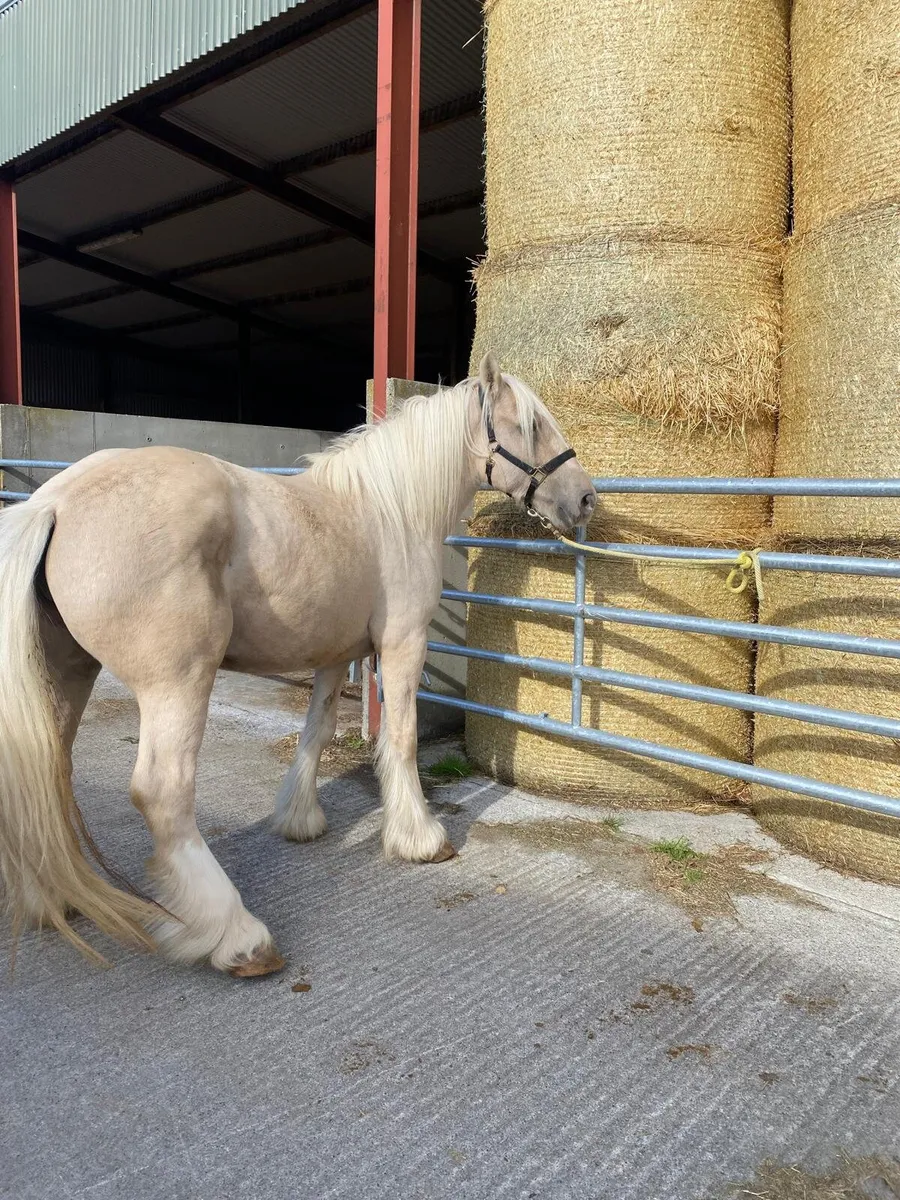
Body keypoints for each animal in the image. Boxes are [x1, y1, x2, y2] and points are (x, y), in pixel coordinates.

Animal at [0, 353, 596, 977]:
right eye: (530, 425)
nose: (585, 498)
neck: (389, 511)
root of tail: (54, 502)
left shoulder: (334, 655)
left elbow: (318, 731)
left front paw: (299, 819)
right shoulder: (402, 645)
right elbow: (402, 738)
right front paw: (421, 839)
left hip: (68, 671)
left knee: (48, 769)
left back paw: (52, 898)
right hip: (177, 683)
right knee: (163, 794)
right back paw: (237, 936)